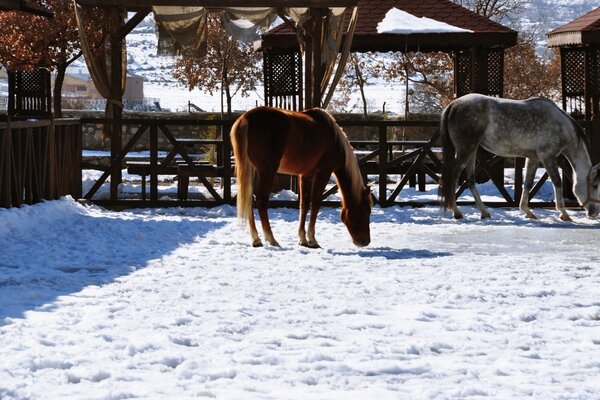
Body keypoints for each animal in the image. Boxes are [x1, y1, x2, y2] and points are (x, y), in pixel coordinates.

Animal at [230, 106, 370, 247]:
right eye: (367, 210)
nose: (365, 241)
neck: (334, 140)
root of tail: (246, 118)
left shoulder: (306, 175)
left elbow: (304, 204)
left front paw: (303, 239)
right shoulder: (323, 173)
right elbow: (315, 204)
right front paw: (312, 239)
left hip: (252, 170)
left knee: (249, 199)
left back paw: (256, 239)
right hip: (267, 171)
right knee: (261, 201)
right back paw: (271, 239)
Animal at [438, 93, 600, 222]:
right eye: (595, 185)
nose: (594, 213)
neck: (561, 125)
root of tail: (453, 105)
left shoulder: (534, 158)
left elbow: (528, 183)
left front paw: (527, 211)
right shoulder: (547, 156)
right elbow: (557, 182)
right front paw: (564, 213)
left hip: (472, 151)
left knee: (470, 179)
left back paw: (484, 212)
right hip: (466, 150)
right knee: (453, 176)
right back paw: (456, 212)